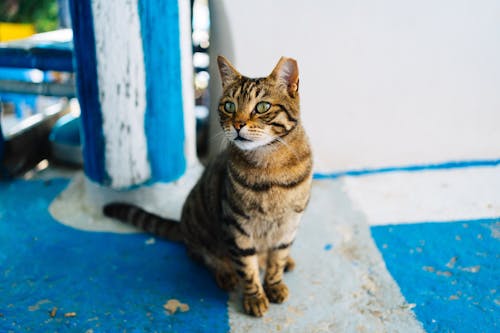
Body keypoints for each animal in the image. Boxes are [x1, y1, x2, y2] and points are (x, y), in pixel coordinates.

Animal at [103, 55, 310, 316]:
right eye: (229, 106)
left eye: (262, 107)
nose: (239, 124)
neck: (270, 167)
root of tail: (182, 226)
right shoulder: (238, 227)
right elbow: (248, 268)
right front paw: (254, 297)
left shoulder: (289, 225)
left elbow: (276, 260)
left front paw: (274, 284)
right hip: (202, 233)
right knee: (205, 256)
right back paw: (225, 273)